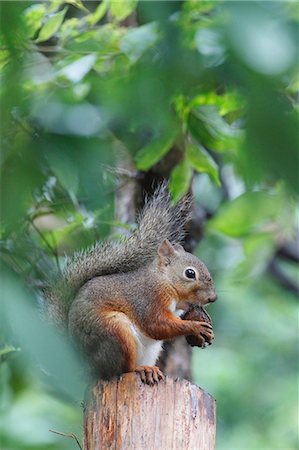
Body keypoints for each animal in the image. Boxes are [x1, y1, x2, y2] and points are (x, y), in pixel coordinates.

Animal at [44, 185, 217, 384]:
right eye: (190, 273)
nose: (213, 298)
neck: (164, 280)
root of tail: (83, 366)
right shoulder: (149, 297)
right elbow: (155, 325)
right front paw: (195, 326)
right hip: (115, 331)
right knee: (121, 369)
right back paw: (141, 369)